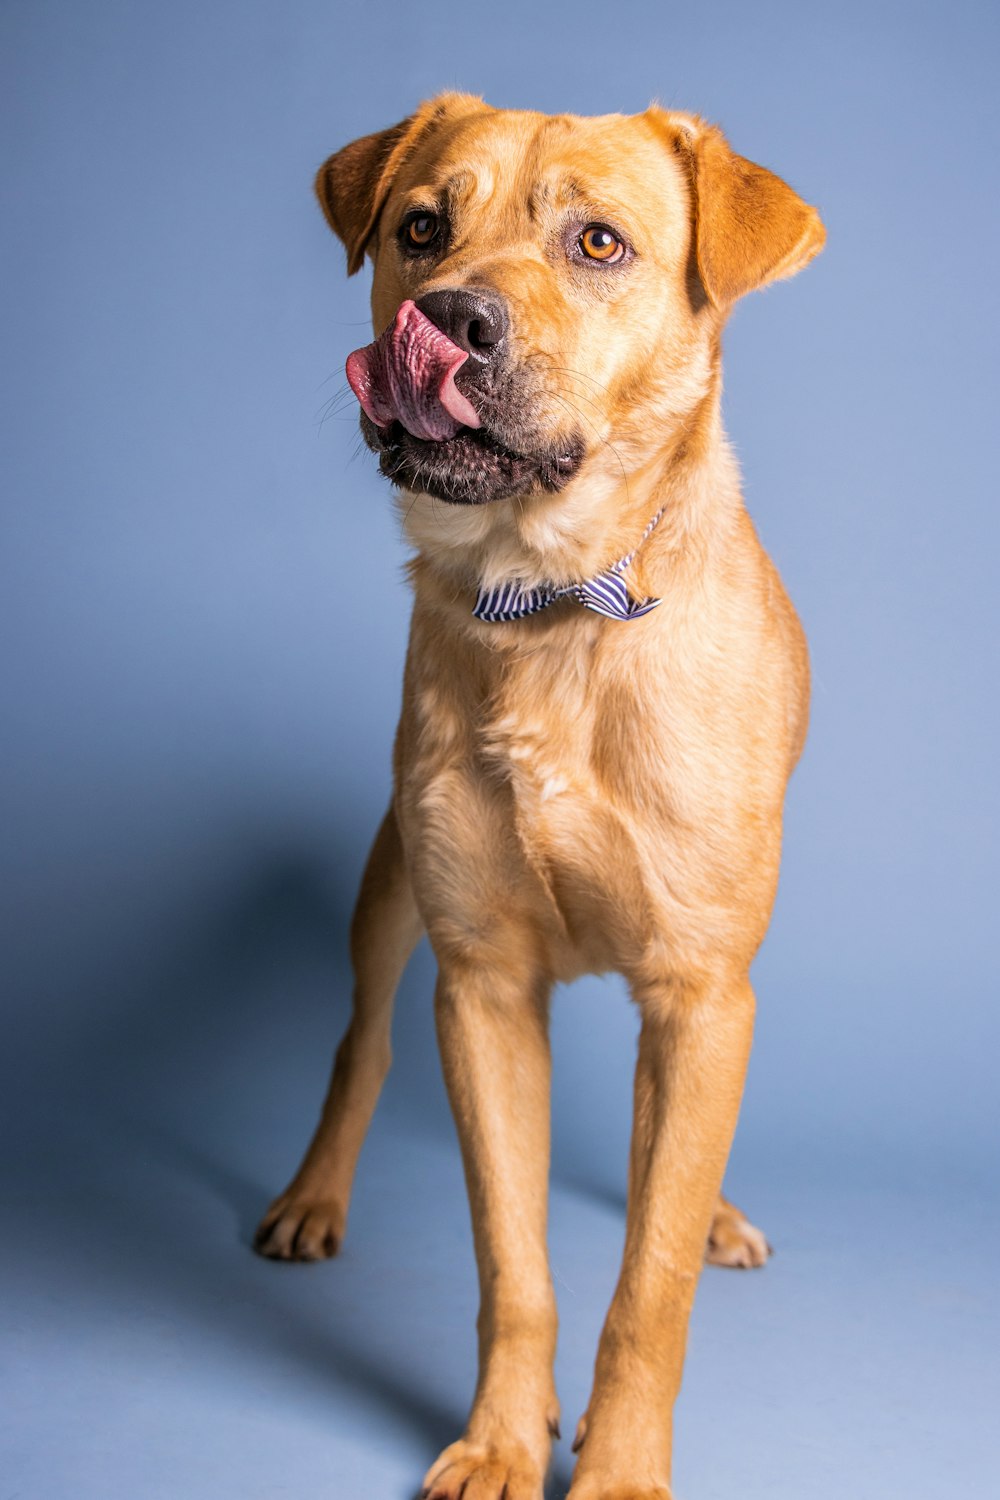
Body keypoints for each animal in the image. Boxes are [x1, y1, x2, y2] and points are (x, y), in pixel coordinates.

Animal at [254, 96, 827, 1500]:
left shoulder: (699, 990)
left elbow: (649, 1287)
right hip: (391, 880)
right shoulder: (485, 988)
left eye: (599, 242)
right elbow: (514, 1265)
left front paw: (615, 1469)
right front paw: (504, 1442)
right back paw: (313, 1196)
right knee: (361, 1041)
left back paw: (713, 1209)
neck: (557, 607)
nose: (450, 317)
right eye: (419, 228)